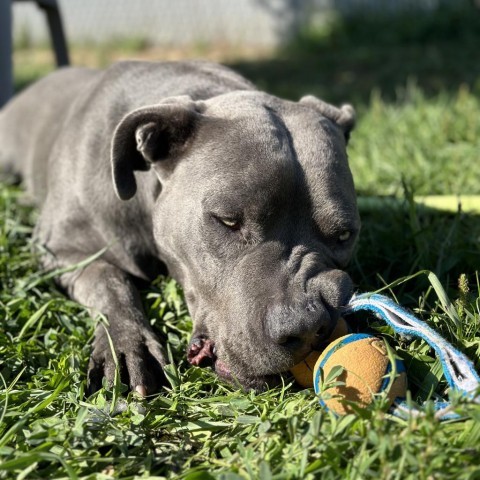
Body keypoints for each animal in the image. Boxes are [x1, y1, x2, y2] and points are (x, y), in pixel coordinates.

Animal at [0, 61, 360, 394]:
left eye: (345, 235)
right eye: (227, 220)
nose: (309, 326)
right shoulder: (60, 248)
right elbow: (109, 279)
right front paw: (128, 346)